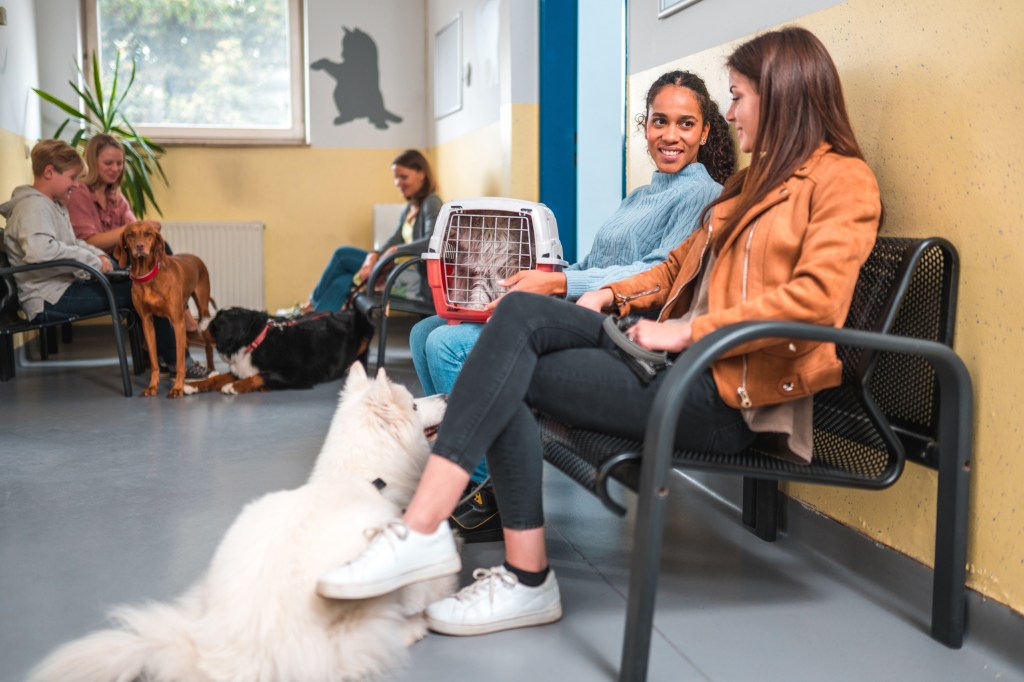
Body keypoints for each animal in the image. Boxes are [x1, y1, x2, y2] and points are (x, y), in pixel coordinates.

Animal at [115, 220, 217, 395]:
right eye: (130, 235)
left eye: (148, 233)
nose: (140, 247)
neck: (148, 277)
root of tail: (194, 257)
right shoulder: (147, 322)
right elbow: (155, 362)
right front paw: (152, 386)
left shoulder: (177, 322)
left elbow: (180, 362)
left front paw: (178, 387)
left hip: (202, 308)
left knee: (207, 342)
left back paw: (210, 366)